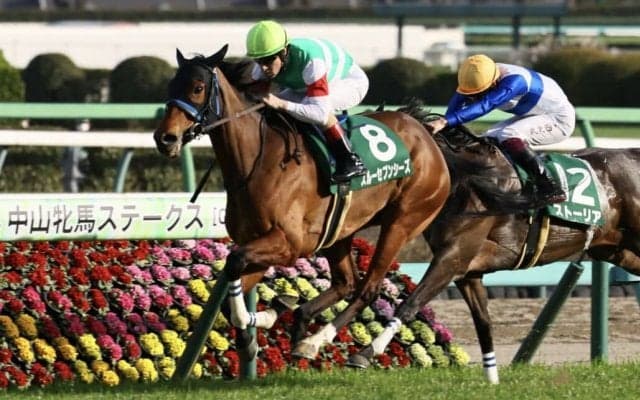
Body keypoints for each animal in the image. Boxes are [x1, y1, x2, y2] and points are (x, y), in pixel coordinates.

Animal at [153, 44, 453, 361]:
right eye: (171, 86)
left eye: (198, 88)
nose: (165, 138)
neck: (258, 161)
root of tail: (424, 132)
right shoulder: (259, 242)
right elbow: (231, 290)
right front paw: (265, 320)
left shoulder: (288, 243)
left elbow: (234, 261)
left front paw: (265, 318)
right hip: (339, 232)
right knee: (345, 282)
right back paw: (302, 320)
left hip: (402, 223)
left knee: (367, 289)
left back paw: (322, 342)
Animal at [347, 108, 640, 383]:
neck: (466, 181)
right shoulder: (467, 270)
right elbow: (483, 322)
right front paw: (492, 379)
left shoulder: (452, 257)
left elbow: (411, 303)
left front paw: (364, 354)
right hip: (619, 251)